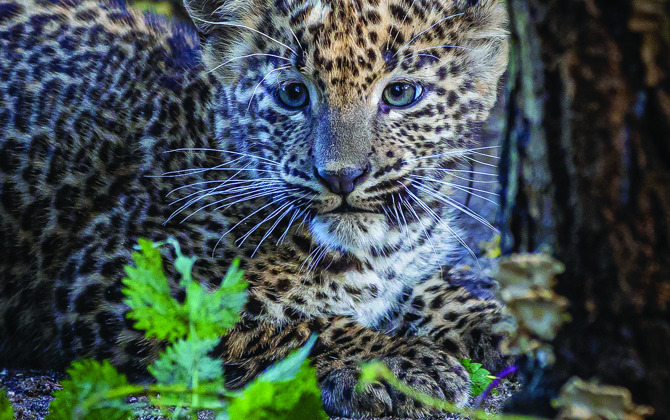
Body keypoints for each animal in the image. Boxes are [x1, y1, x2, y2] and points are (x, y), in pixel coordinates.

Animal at [0, 0, 509, 417]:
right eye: (293, 95)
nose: (342, 177)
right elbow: (295, 327)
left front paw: (503, 324)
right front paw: (394, 362)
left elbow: (432, 292)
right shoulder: (121, 280)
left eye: (401, 94)